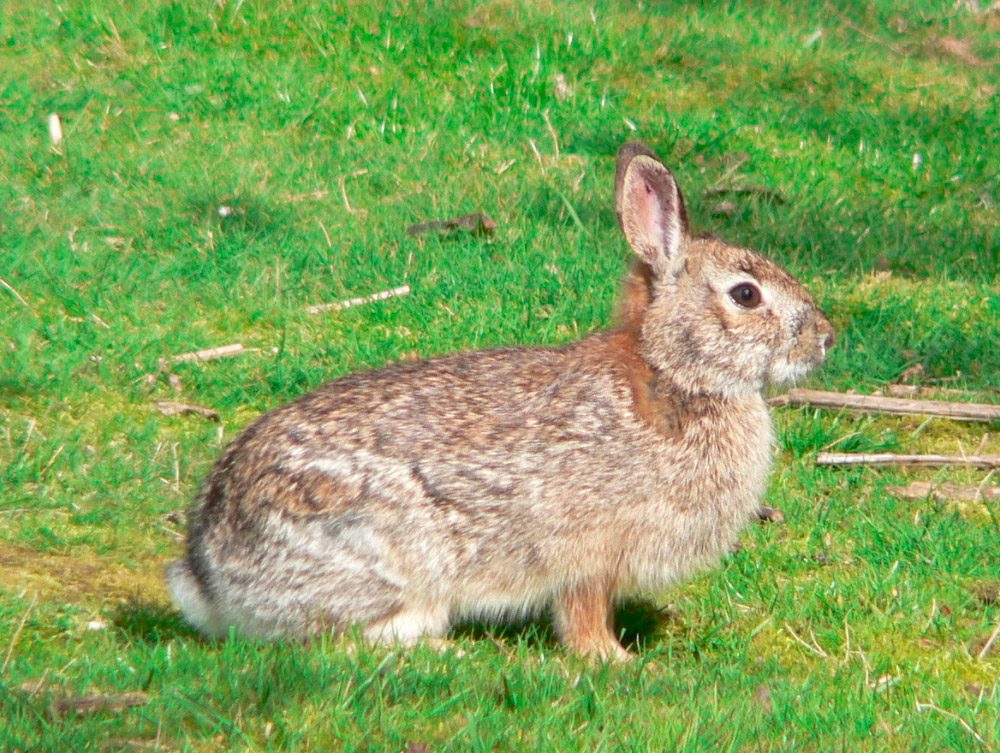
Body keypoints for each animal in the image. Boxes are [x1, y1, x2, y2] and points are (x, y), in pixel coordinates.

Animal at [166, 142, 836, 656]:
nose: (826, 338)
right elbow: (582, 616)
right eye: (746, 295)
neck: (672, 374)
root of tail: (208, 575)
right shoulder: (589, 556)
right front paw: (615, 662)